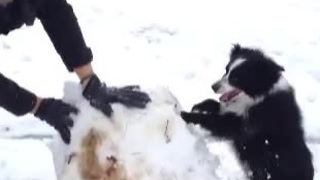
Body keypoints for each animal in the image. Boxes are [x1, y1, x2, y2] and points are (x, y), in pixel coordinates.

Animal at [181, 44, 314, 180]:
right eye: (226, 70)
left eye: (235, 78)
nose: (213, 87)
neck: (256, 98)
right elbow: (215, 105)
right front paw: (198, 106)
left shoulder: (247, 125)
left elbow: (214, 121)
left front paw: (185, 115)